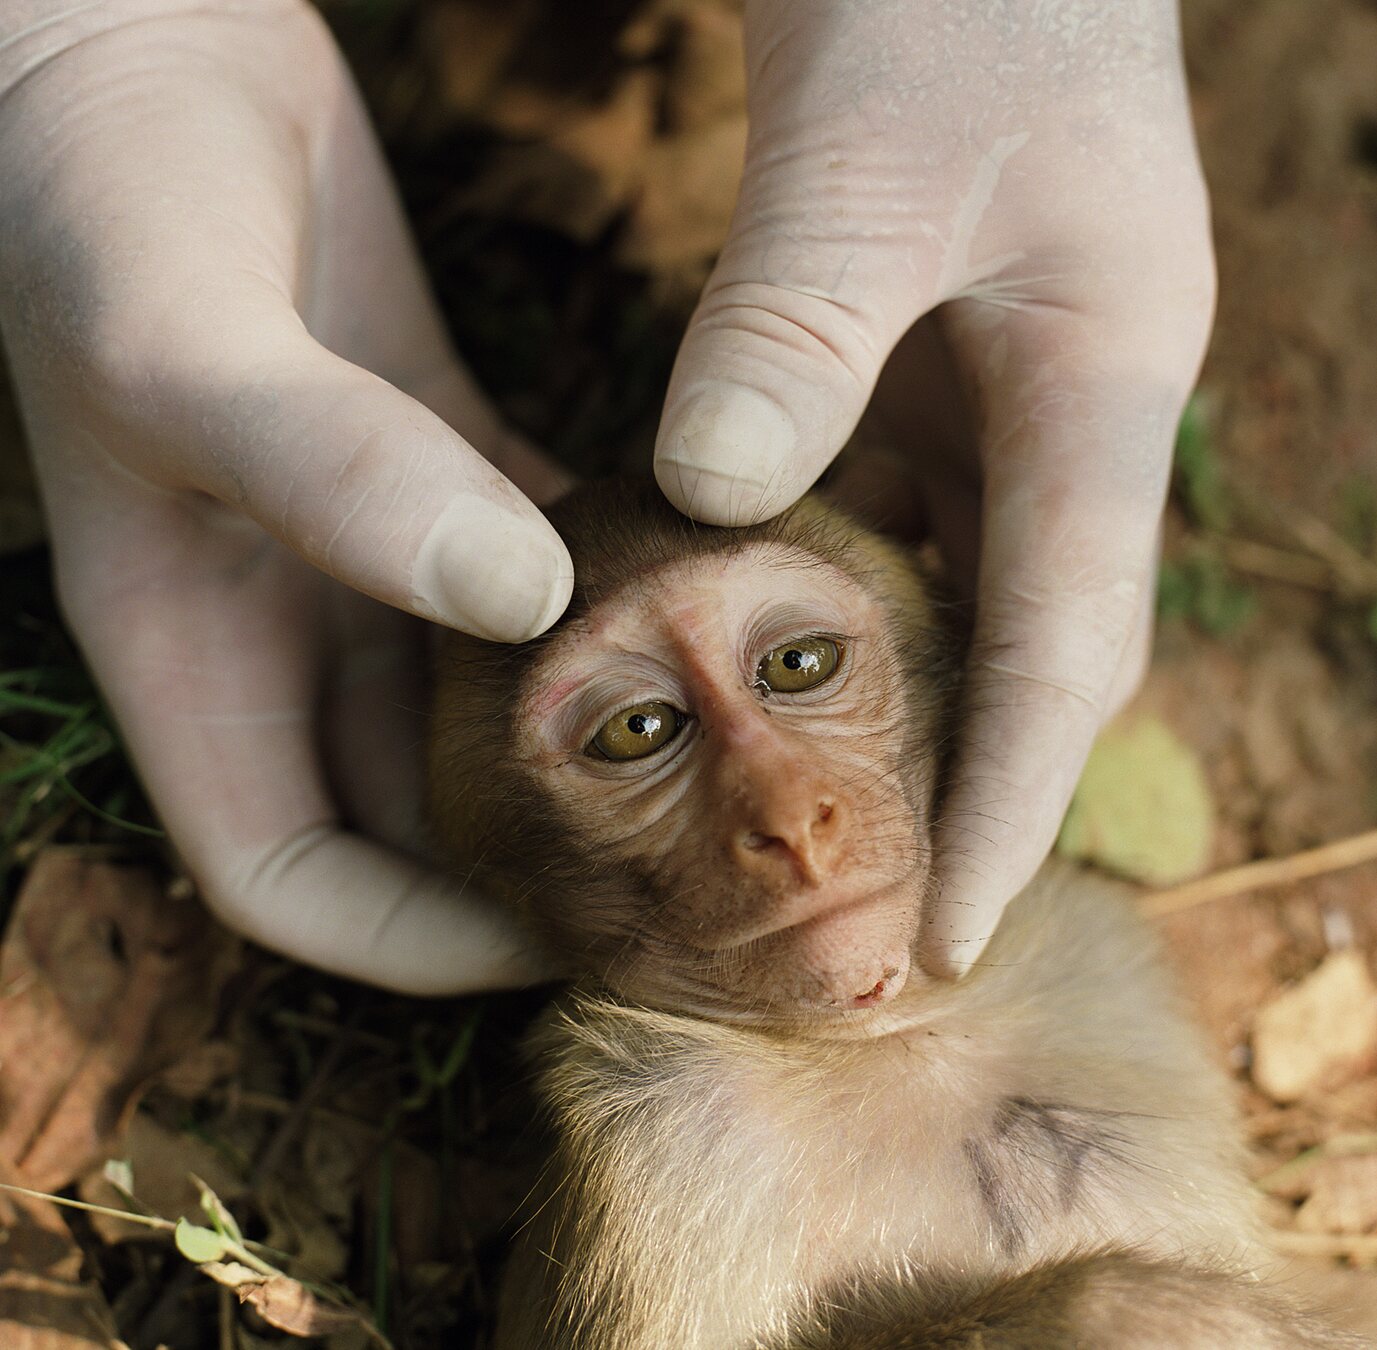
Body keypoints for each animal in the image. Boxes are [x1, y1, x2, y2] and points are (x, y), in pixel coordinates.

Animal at [428, 479, 1361, 1349]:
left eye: (797, 663)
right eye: (637, 729)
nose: (791, 818)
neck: (897, 1033)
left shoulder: (1094, 951)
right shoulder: (655, 1127)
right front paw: (1134, 1313)